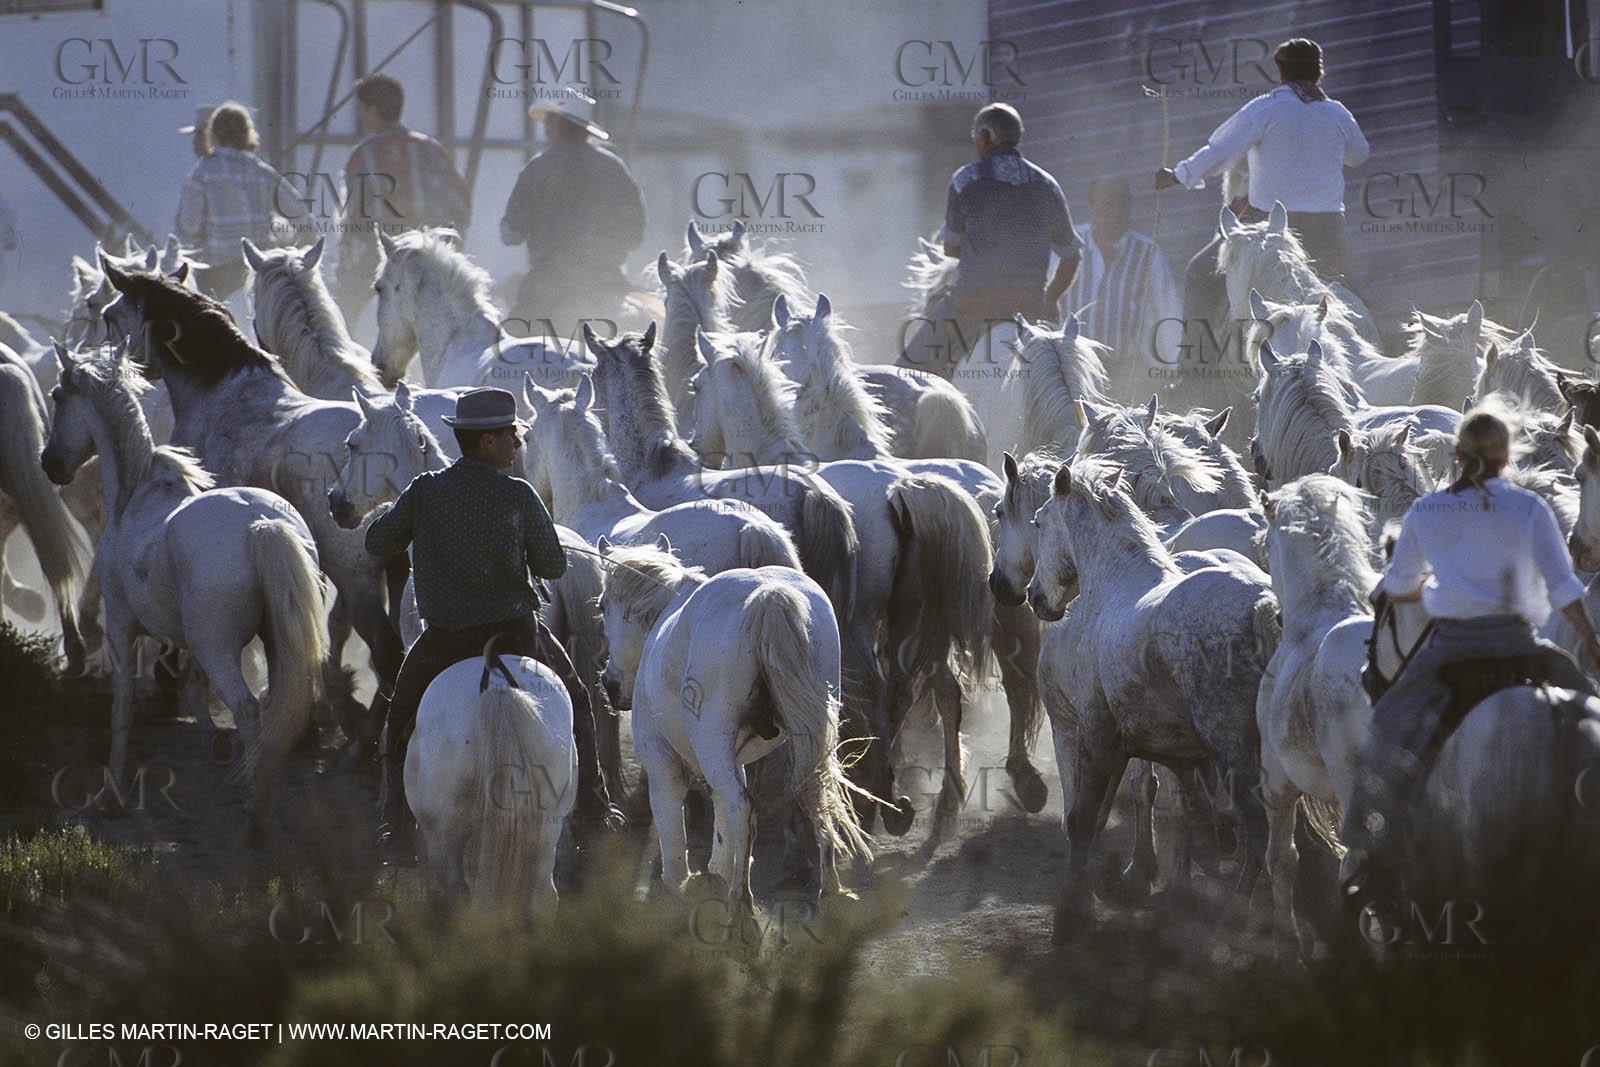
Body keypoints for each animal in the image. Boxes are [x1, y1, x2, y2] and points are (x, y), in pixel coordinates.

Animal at [40, 342, 328, 837]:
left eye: (59, 396)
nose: (51, 463)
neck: (135, 496)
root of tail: (261, 525)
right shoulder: (183, 641)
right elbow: (192, 688)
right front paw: (214, 746)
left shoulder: (122, 628)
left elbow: (121, 709)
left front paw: (109, 797)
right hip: (276, 641)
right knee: (276, 711)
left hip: (218, 647)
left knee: (248, 709)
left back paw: (255, 811)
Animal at [597, 540, 873, 905]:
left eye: (601, 606)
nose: (610, 684)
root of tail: (769, 597)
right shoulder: (731, 761)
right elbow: (721, 820)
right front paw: (717, 871)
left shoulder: (661, 763)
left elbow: (675, 856)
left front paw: (688, 885)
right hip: (809, 738)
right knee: (816, 790)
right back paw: (828, 887)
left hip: (712, 746)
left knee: (743, 809)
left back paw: (742, 905)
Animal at [1027, 456, 1277, 941]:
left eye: (1038, 521)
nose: (1033, 596)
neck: (1115, 590)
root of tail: (1261, 604)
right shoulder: (1151, 752)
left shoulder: (1095, 738)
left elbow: (1082, 819)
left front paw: (1072, 912)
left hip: (1235, 752)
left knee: (1259, 830)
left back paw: (1236, 913)